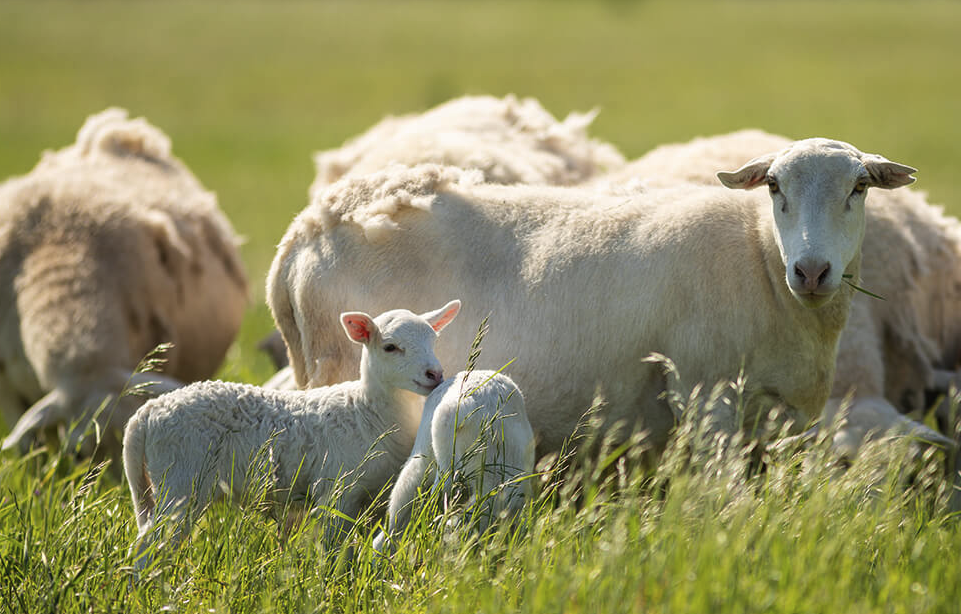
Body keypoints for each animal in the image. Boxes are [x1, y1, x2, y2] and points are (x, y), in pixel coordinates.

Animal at [122, 300, 460, 572]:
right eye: (390, 347)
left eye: (434, 340)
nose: (435, 374)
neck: (368, 410)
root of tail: (146, 414)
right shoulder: (337, 491)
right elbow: (335, 551)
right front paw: (334, 587)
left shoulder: (371, 499)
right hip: (181, 479)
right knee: (148, 546)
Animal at [270, 137, 916, 460]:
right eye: (776, 186)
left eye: (859, 187)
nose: (812, 270)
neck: (759, 259)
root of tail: (300, 234)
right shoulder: (703, 390)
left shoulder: (777, 416)